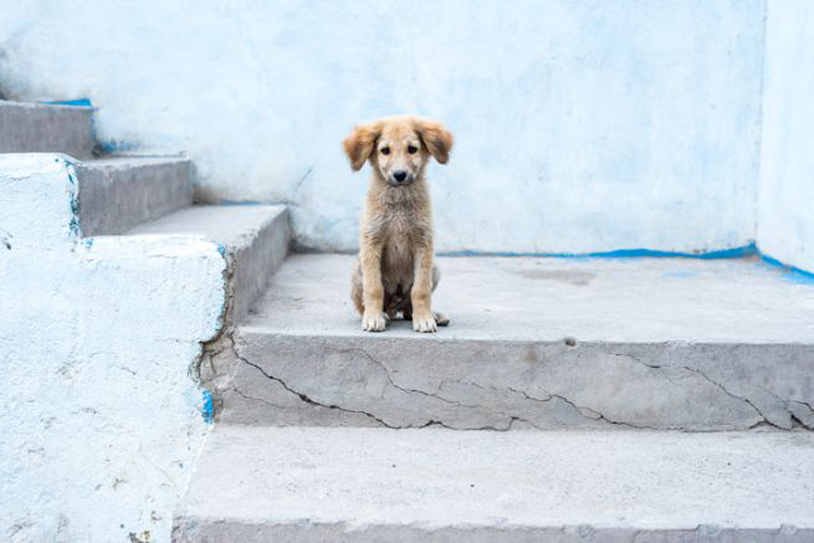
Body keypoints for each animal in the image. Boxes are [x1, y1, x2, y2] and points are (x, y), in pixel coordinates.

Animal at [344, 116, 456, 332]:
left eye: (412, 149)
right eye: (384, 150)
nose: (400, 175)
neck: (398, 203)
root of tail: (395, 305)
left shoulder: (423, 243)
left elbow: (420, 290)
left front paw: (424, 319)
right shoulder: (372, 241)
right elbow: (374, 288)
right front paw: (373, 318)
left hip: (435, 269)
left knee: (407, 307)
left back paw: (431, 314)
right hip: (358, 270)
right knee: (367, 305)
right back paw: (380, 314)